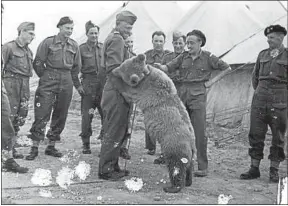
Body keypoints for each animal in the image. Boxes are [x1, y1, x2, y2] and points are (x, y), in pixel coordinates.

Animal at [111, 53, 197, 193]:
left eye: (122, 66)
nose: (114, 70)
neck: (145, 75)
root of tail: (191, 143)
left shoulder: (144, 90)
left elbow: (128, 91)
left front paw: (114, 78)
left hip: (174, 144)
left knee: (176, 165)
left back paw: (172, 187)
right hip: (191, 150)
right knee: (189, 166)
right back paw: (189, 181)